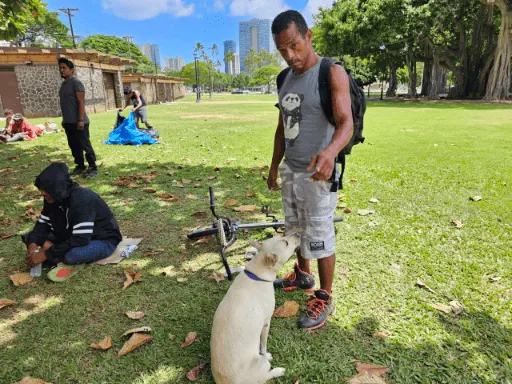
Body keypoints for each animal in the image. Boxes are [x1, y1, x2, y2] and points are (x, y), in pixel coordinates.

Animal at [211, 232, 302, 382]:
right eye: (286, 243)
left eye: (283, 235)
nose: (299, 233)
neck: (257, 273)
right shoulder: (266, 323)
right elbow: (263, 345)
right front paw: (266, 353)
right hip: (262, 364)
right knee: (265, 376)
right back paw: (277, 371)